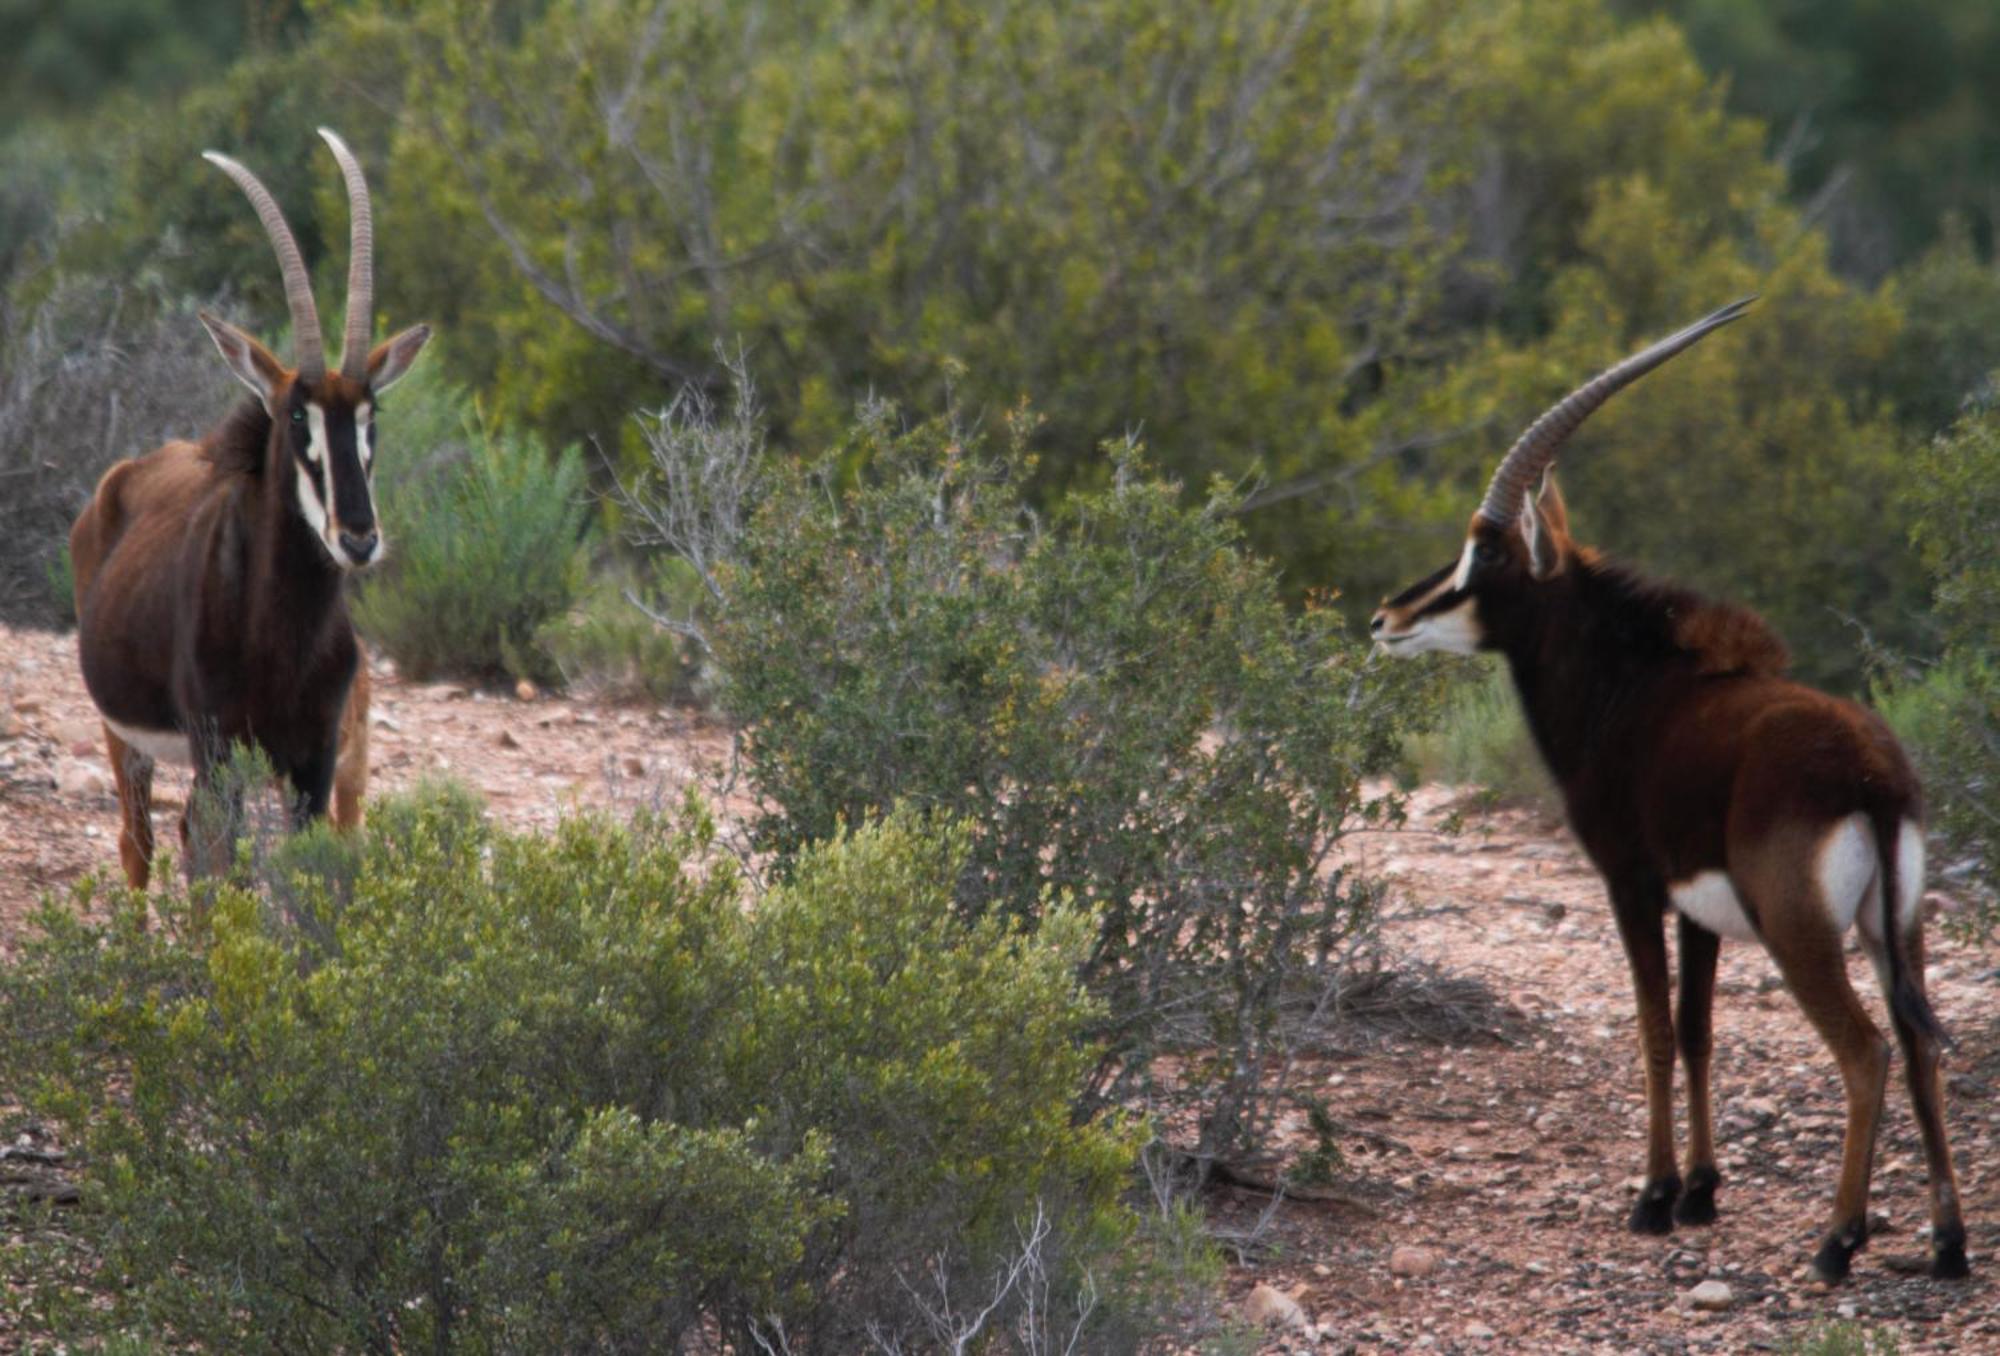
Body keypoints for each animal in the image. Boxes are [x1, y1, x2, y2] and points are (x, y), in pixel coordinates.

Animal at [71, 133, 430, 888]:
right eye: (296, 415)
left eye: (371, 415)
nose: (359, 538)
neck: (281, 636)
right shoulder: (219, 751)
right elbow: (220, 875)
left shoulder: (311, 765)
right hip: (127, 739)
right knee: (140, 841)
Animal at [1376, 300, 1968, 1288]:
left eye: (1484, 552)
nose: (1388, 616)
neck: (1632, 686)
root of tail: (1874, 775)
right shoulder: (1699, 910)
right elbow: (1697, 1032)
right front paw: (1701, 1192)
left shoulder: (1629, 884)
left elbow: (1653, 1030)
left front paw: (1653, 1198)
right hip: (1897, 925)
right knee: (1920, 1041)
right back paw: (1948, 1243)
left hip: (1800, 930)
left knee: (1868, 1048)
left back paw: (1839, 1240)